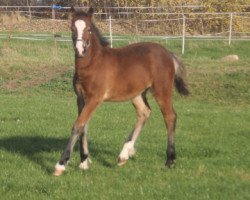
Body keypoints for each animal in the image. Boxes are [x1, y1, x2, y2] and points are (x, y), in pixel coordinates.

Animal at [53, 6, 188, 176]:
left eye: (89, 29)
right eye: (72, 28)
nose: (80, 50)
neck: (93, 64)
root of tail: (168, 54)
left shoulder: (94, 98)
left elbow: (77, 126)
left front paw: (61, 164)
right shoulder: (81, 98)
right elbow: (84, 127)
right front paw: (84, 162)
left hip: (161, 89)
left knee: (170, 116)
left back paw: (169, 160)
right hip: (137, 93)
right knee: (144, 112)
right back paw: (124, 154)